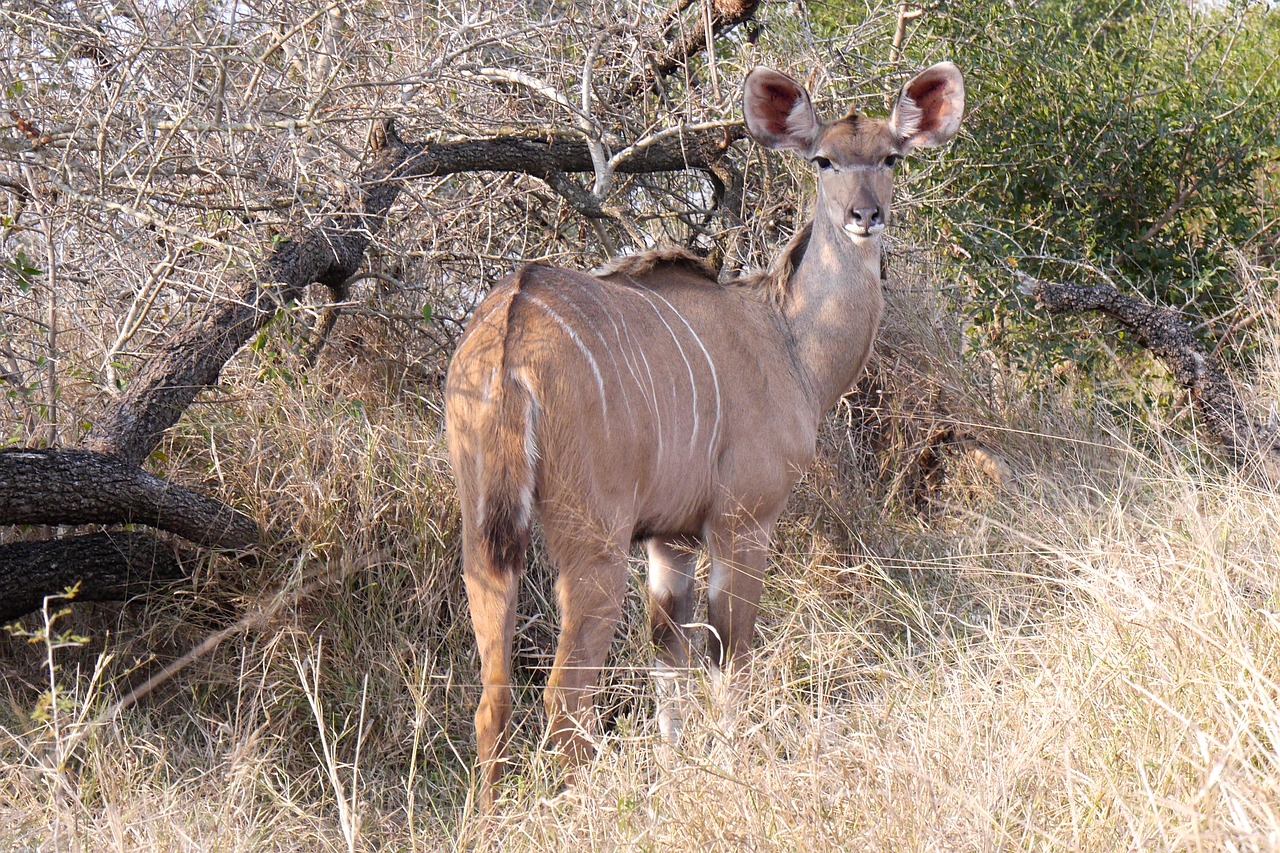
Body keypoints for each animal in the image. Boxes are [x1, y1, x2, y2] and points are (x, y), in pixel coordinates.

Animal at [445, 61, 962, 804]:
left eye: (890, 157)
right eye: (824, 160)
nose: (866, 217)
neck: (786, 337)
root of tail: (512, 324)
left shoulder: (672, 539)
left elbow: (670, 655)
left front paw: (678, 764)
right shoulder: (742, 520)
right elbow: (729, 649)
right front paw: (734, 762)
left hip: (484, 530)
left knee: (494, 694)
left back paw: (487, 818)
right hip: (593, 540)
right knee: (564, 695)